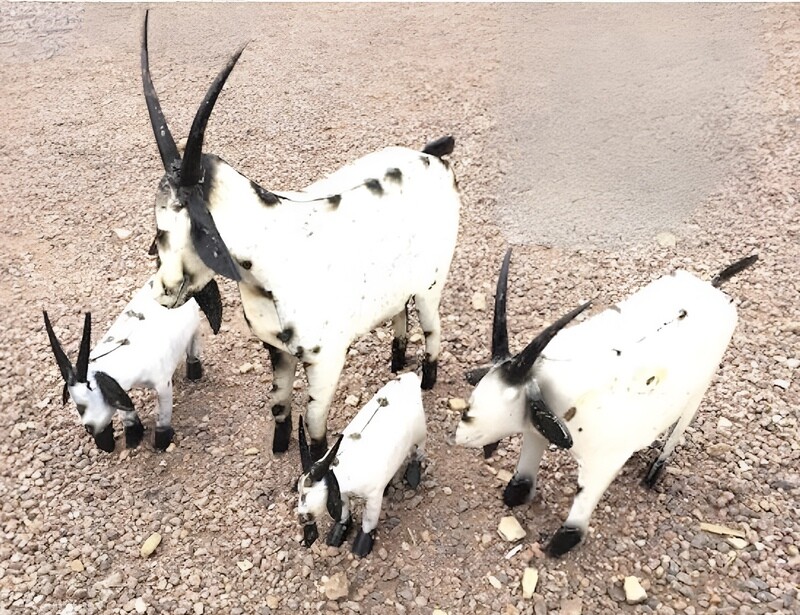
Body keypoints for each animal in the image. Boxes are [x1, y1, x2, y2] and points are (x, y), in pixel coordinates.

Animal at [43, 276, 222, 452]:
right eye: (75, 402)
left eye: (91, 388)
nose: (90, 428)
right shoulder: (121, 388)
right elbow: (127, 415)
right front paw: (133, 437)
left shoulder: (162, 386)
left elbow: (162, 416)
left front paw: (161, 443)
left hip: (195, 328)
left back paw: (194, 373)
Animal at [139, 12, 461, 460]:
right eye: (159, 226)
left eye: (200, 227)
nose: (165, 290)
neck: (274, 247)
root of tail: (433, 155)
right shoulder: (276, 349)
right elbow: (279, 404)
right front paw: (278, 448)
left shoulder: (326, 361)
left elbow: (314, 423)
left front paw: (312, 464)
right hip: (397, 290)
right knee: (400, 313)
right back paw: (396, 363)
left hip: (431, 284)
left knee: (432, 328)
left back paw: (427, 379)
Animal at [296, 372, 426, 557]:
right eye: (298, 490)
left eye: (307, 494)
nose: (302, 518)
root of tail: (410, 377)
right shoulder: (341, 494)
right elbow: (343, 513)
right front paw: (337, 534)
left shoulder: (373, 498)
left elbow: (369, 522)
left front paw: (361, 547)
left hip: (421, 433)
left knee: (418, 452)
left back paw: (413, 476)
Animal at [455, 248, 758, 556]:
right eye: (480, 387)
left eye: (511, 397)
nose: (463, 433)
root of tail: (714, 287)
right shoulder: (536, 430)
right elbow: (526, 466)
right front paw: (514, 494)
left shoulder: (599, 465)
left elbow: (582, 503)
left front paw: (561, 543)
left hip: (699, 391)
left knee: (677, 431)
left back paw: (653, 474)